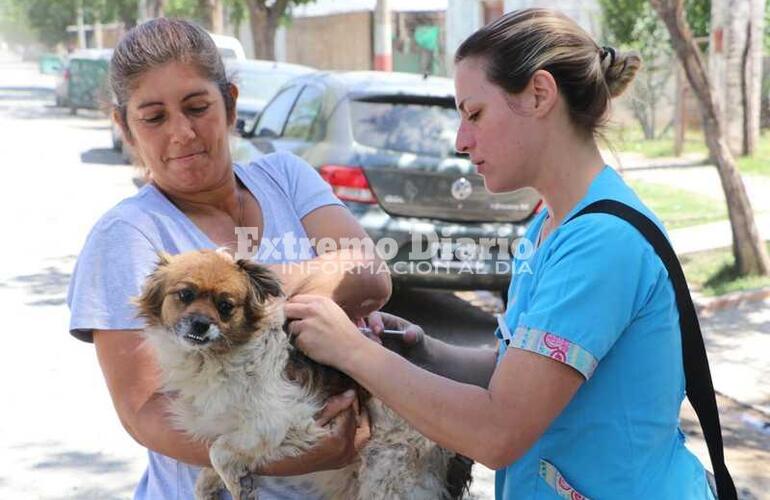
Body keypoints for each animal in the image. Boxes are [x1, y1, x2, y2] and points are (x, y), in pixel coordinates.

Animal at [137, 250, 472, 500]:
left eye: (225, 305)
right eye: (184, 294)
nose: (200, 324)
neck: (215, 358)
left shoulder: (287, 419)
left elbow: (219, 450)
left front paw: (234, 482)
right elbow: (212, 455)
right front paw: (217, 484)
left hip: (388, 475)